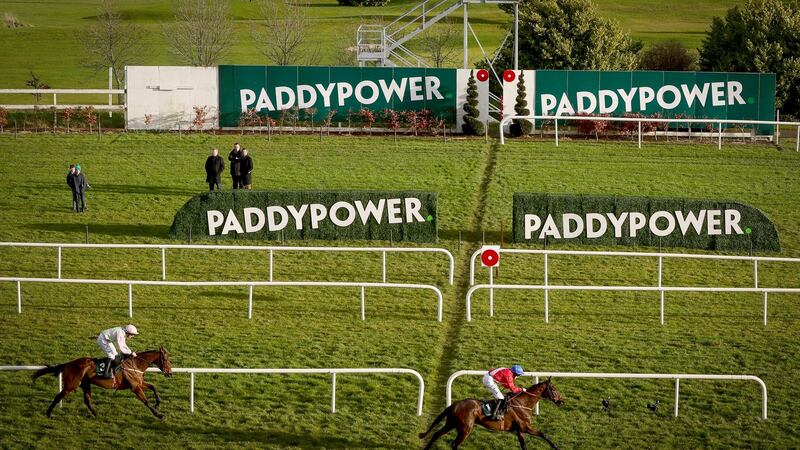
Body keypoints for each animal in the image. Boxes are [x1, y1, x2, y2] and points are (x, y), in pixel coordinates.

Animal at [31, 348, 172, 418]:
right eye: (166, 359)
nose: (170, 373)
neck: (136, 364)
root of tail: (69, 364)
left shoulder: (138, 383)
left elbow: (153, 387)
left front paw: (158, 404)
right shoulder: (135, 387)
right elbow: (146, 401)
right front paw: (159, 415)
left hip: (85, 384)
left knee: (87, 399)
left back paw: (96, 414)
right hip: (71, 385)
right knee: (58, 396)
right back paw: (49, 414)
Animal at [418, 378, 564, 448]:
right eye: (553, 389)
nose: (561, 401)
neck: (523, 404)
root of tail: (453, 404)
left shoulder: (519, 430)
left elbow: (524, 446)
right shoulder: (525, 427)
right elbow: (544, 434)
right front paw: (555, 446)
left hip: (452, 423)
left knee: (436, 434)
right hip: (465, 429)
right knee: (454, 444)